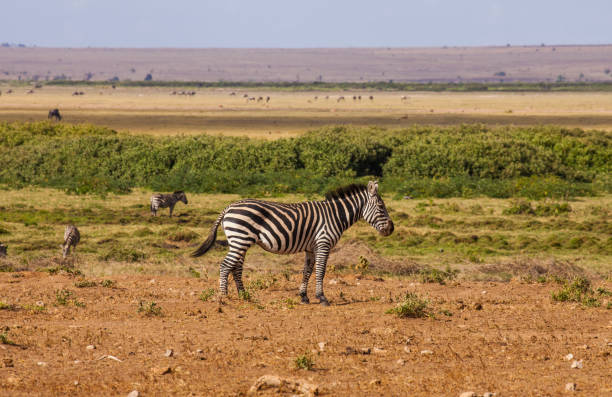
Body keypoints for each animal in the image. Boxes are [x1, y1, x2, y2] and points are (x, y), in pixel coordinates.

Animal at [192, 181, 396, 304]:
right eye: (381, 207)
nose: (391, 229)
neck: (335, 215)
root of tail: (228, 207)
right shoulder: (323, 243)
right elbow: (321, 271)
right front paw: (322, 298)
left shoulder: (311, 248)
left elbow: (307, 271)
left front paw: (304, 296)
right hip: (240, 239)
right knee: (225, 265)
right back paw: (223, 297)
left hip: (239, 241)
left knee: (236, 267)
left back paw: (244, 295)